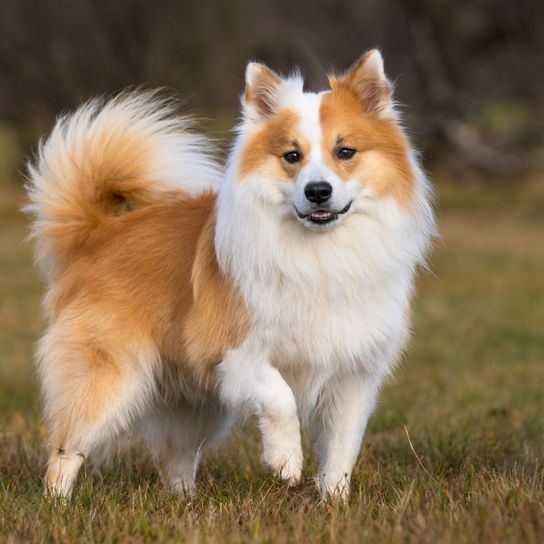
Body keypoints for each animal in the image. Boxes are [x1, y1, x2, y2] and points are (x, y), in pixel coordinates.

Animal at [25, 51, 436, 502]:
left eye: (345, 152)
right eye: (292, 156)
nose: (318, 191)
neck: (319, 252)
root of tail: (98, 232)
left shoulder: (353, 376)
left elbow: (342, 450)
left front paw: (334, 503)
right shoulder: (232, 350)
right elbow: (280, 396)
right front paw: (286, 460)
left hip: (191, 403)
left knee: (173, 457)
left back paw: (185, 503)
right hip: (112, 379)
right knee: (66, 450)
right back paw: (58, 504)